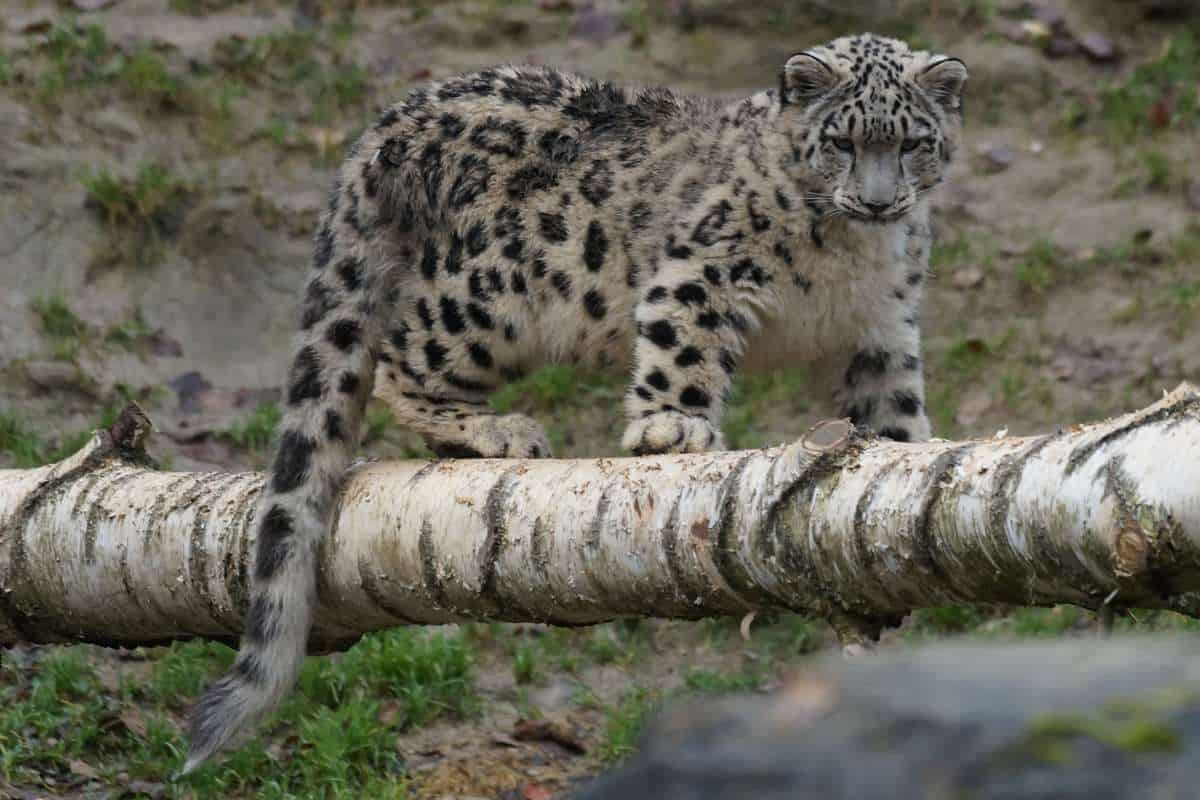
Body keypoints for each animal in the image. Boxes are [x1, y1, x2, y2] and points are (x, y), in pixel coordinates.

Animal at [184, 34, 964, 772]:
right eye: (842, 142)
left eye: (911, 143)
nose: (877, 201)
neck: (854, 257)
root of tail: (388, 126)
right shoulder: (701, 271)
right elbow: (681, 348)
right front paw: (671, 430)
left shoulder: (883, 327)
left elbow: (893, 403)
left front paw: (906, 456)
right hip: (491, 292)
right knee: (400, 357)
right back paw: (495, 430)